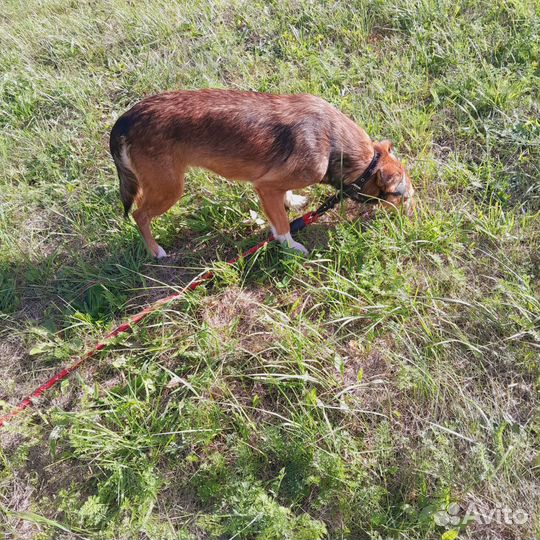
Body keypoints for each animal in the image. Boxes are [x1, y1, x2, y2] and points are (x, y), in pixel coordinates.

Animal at [108, 89, 414, 258]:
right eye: (403, 196)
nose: (412, 219)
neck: (333, 143)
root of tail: (125, 119)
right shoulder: (265, 187)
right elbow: (282, 225)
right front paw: (291, 247)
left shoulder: (274, 185)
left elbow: (283, 199)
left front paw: (293, 201)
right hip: (169, 188)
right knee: (139, 214)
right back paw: (156, 251)